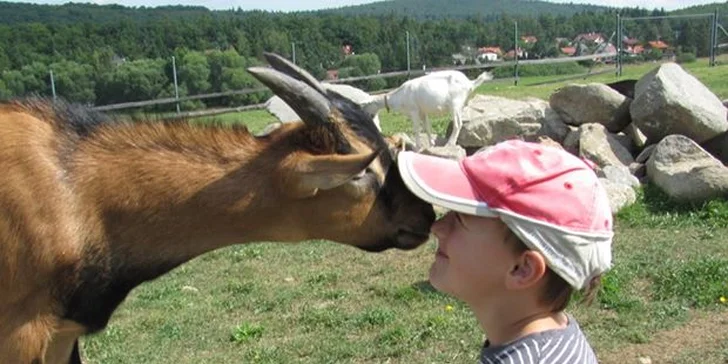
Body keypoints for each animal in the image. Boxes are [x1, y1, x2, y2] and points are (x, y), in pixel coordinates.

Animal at [362, 69, 494, 149]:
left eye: (365, 106)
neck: (399, 97)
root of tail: (470, 83)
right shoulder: (423, 112)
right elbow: (427, 128)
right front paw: (431, 144)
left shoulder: (414, 111)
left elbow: (416, 129)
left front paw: (417, 146)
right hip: (461, 105)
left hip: (455, 104)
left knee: (458, 123)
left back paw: (449, 144)